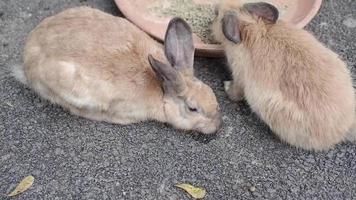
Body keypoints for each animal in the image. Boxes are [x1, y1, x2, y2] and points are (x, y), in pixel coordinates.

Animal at [213, 0, 354, 150]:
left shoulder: (239, 77)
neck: (256, 29)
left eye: (217, 15)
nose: (215, 8)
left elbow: (236, 93)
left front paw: (226, 86)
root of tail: (345, 128)